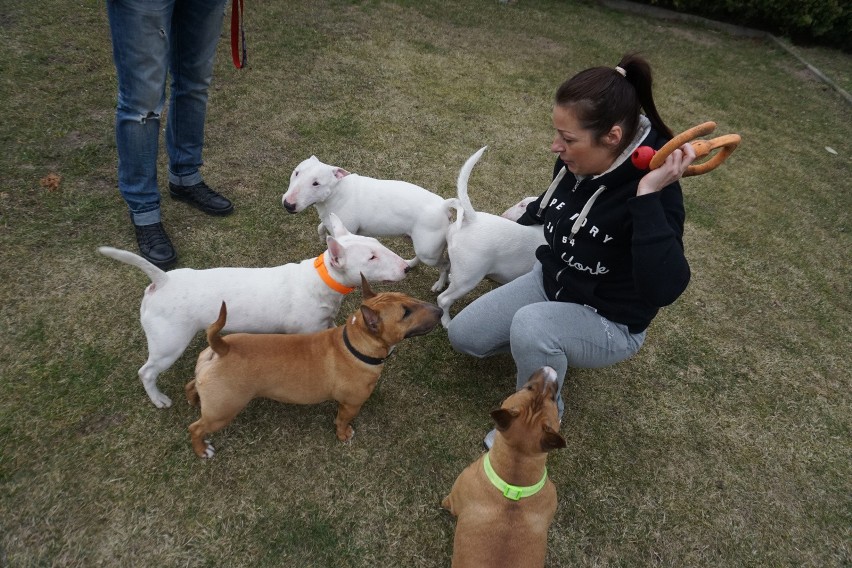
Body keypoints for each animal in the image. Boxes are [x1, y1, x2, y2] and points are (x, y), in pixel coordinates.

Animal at [98, 214, 408, 408]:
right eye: (371, 258)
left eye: (377, 244)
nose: (406, 267)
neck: (322, 280)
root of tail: (162, 280)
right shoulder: (305, 333)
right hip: (169, 343)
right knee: (147, 371)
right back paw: (158, 398)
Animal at [282, 154, 456, 290]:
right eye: (296, 173)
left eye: (316, 183)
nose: (288, 205)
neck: (336, 192)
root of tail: (443, 205)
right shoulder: (330, 219)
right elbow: (320, 227)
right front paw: (321, 237)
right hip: (419, 244)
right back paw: (411, 264)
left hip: (428, 252)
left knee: (445, 265)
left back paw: (440, 284)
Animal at [440, 148, 544, 328]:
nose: (505, 215)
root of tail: (472, 219)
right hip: (468, 278)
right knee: (444, 299)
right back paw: (446, 321)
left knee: (446, 268)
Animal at [442, 366, 568, 564]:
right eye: (530, 388)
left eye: (551, 398)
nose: (549, 370)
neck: (515, 481)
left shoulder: (454, 498)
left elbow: (448, 502)